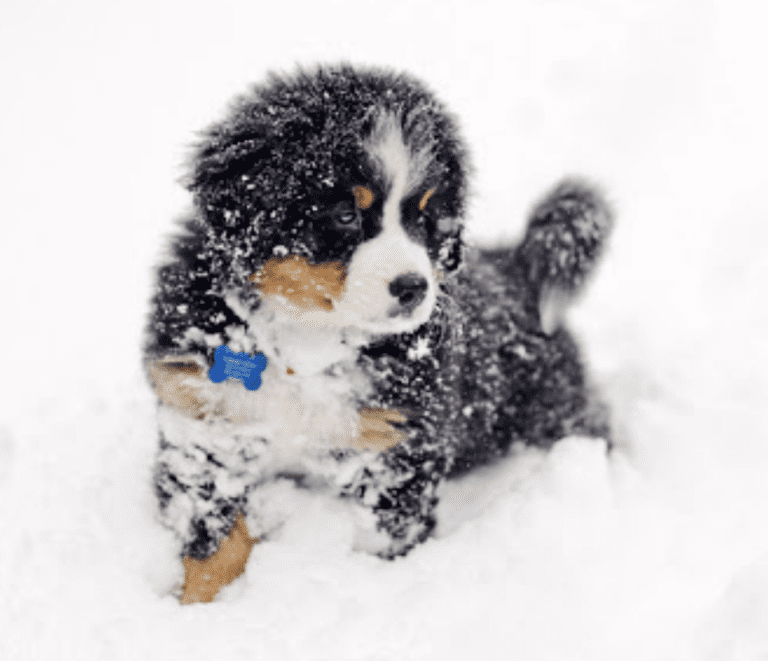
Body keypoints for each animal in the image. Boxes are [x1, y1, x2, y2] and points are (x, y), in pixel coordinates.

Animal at [144, 63, 612, 604]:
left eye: (426, 218)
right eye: (346, 214)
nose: (413, 287)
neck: (307, 341)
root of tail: (516, 265)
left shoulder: (397, 443)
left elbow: (382, 538)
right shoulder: (202, 422)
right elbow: (213, 539)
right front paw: (199, 606)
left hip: (549, 411)